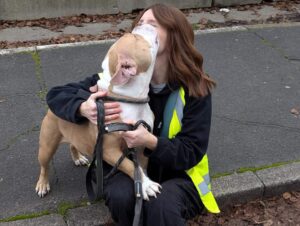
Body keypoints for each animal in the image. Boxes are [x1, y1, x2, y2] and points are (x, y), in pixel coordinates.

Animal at [34, 24, 162, 200]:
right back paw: (42, 184)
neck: (127, 97)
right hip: (47, 146)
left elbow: (140, 166)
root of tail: (51, 109)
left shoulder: (142, 142)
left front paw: (144, 182)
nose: (142, 23)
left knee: (72, 145)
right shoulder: (110, 151)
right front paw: (146, 185)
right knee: (44, 166)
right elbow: (130, 165)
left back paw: (78, 158)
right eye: (136, 37)